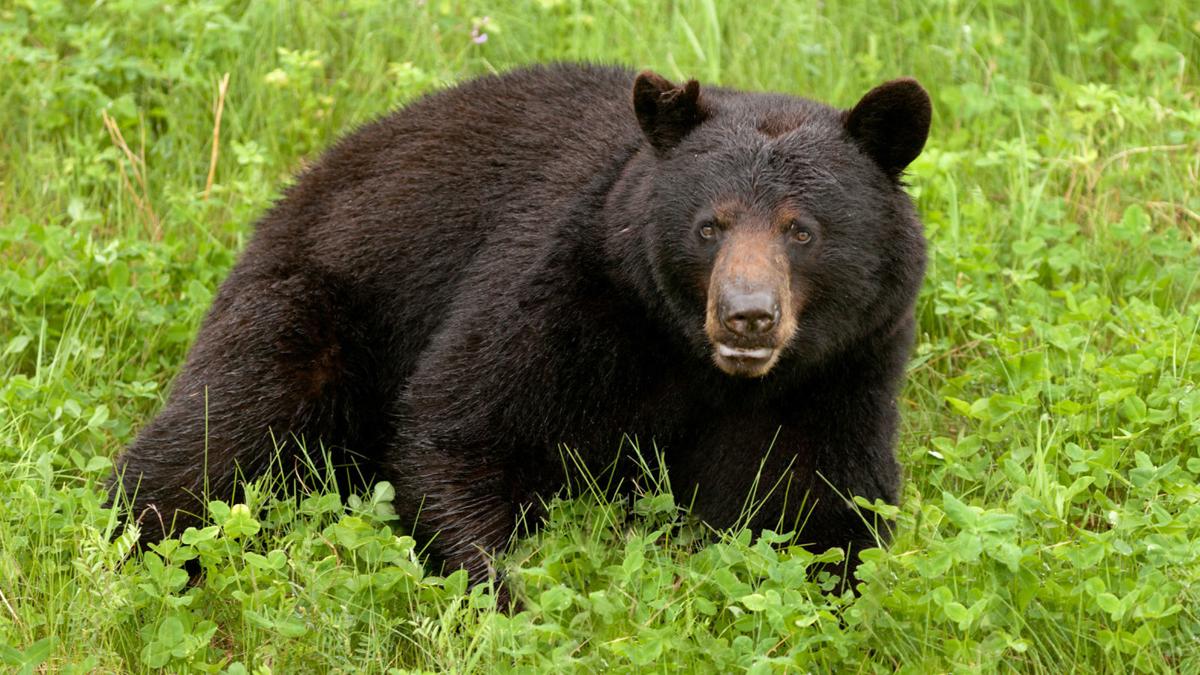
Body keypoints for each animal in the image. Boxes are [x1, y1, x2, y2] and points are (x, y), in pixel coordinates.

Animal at [109, 63, 930, 599]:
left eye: (802, 229)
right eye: (710, 225)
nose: (748, 315)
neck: (694, 360)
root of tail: (299, 186)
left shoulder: (841, 370)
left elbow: (820, 504)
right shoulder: (567, 294)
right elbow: (460, 426)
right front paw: (502, 595)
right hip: (310, 307)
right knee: (227, 431)